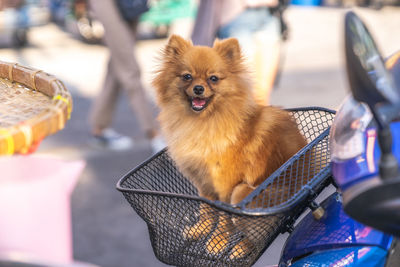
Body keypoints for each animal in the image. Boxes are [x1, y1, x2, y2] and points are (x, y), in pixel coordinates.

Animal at [152, 34, 306, 258]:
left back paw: (241, 248)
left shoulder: (225, 187)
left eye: (213, 78)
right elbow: (206, 210)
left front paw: (218, 241)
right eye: (187, 76)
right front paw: (201, 230)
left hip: (244, 193)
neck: (203, 122)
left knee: (260, 234)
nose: (198, 88)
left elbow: (224, 221)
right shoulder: (204, 183)